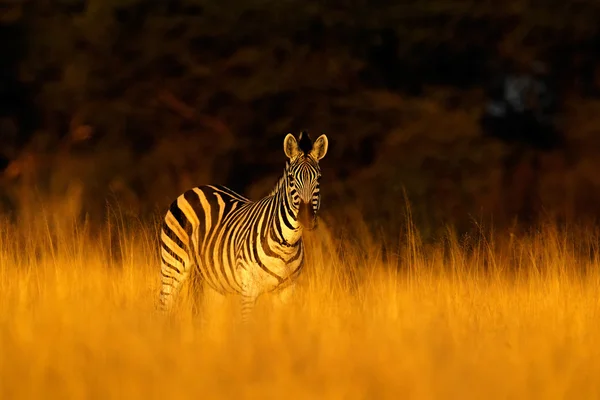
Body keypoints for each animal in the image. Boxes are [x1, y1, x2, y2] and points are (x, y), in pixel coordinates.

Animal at [158, 131, 328, 322]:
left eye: (319, 179)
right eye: (291, 178)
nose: (307, 219)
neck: (287, 244)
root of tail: (193, 189)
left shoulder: (287, 290)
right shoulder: (249, 289)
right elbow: (247, 325)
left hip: (214, 283)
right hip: (173, 265)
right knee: (165, 304)